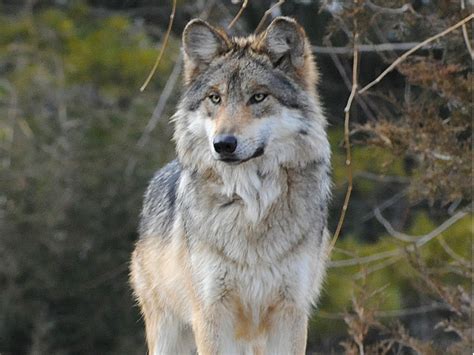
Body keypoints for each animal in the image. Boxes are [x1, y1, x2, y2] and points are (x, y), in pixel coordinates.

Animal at [128, 16, 332, 355]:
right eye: (215, 98)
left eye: (258, 97)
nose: (223, 144)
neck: (251, 205)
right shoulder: (211, 313)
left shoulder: (291, 313)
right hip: (168, 335)